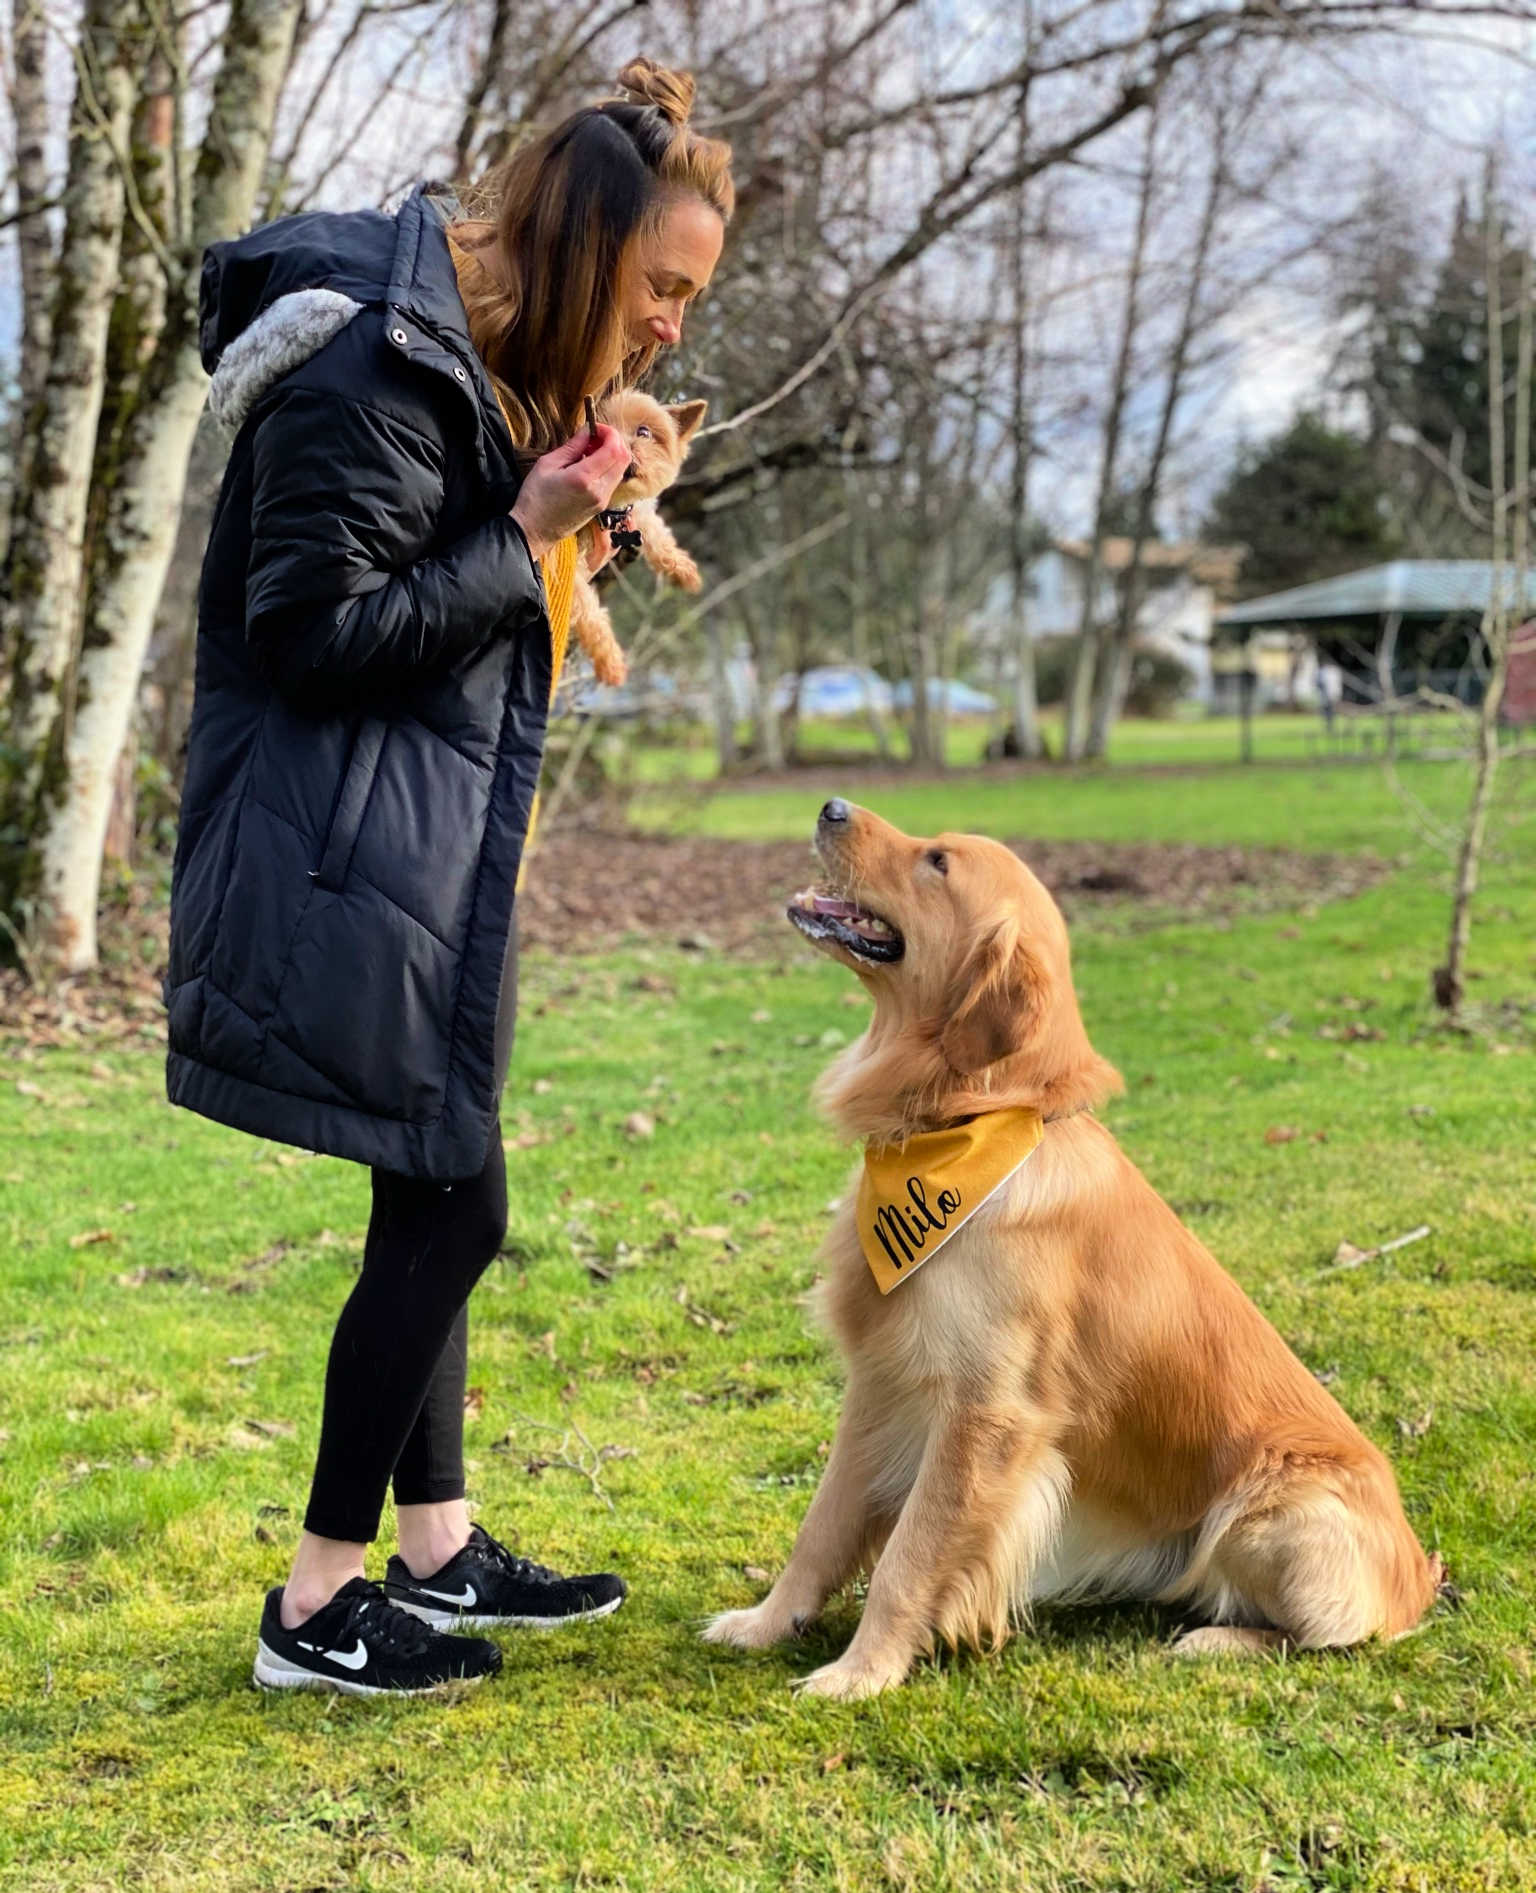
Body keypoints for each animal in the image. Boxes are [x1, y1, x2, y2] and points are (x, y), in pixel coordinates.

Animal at [571, 386, 708, 689]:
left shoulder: (635, 512)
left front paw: (683, 570)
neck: (610, 511)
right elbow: (589, 613)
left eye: (644, 431)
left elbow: (656, 531)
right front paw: (610, 662)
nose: (623, 451)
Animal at [708, 798, 1439, 1703]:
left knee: (1332, 1633)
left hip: (1273, 1514)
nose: (832, 805)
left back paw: (1217, 1639)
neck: (968, 1121)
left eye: (937, 862)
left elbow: (909, 1556)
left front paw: (861, 1672)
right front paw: (768, 1623)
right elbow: (823, 1524)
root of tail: (1421, 1575)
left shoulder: (987, 1412)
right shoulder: (879, 1385)